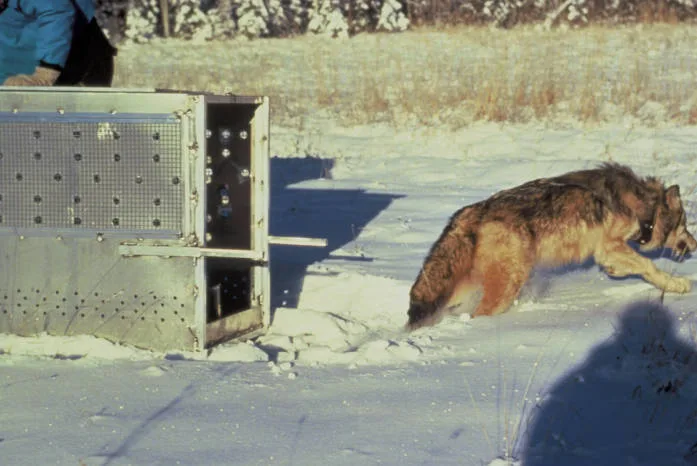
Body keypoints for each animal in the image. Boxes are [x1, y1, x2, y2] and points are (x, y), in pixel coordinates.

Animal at [408, 164, 696, 332]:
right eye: (685, 224)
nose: (695, 244)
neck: (643, 205)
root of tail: (473, 211)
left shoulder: (609, 252)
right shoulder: (609, 246)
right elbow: (649, 266)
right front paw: (679, 285)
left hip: (462, 287)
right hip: (509, 283)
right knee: (480, 314)